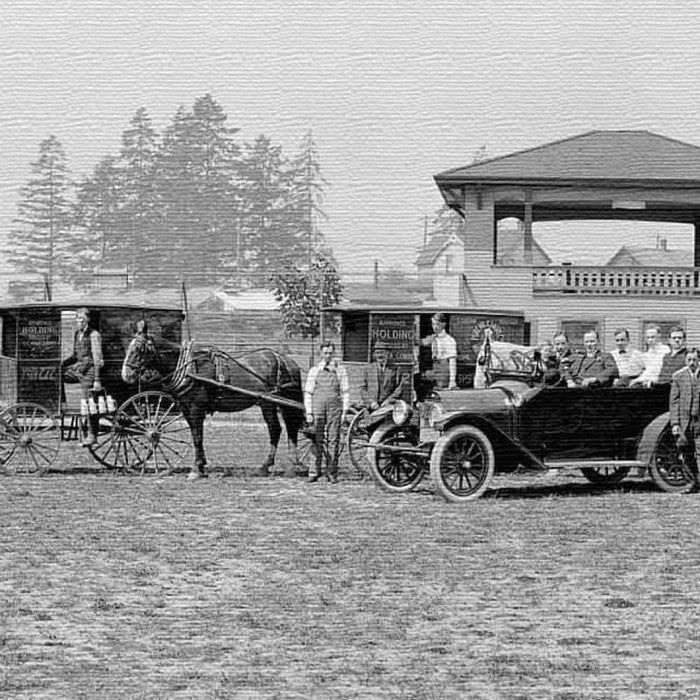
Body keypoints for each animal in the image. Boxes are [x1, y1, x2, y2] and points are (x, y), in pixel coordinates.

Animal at [119, 332, 304, 476]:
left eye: (139, 349)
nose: (126, 375)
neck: (190, 369)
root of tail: (286, 360)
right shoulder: (187, 409)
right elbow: (196, 435)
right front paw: (201, 466)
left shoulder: (196, 409)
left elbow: (197, 436)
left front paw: (196, 469)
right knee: (290, 429)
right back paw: (292, 464)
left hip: (268, 403)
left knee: (275, 429)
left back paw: (267, 466)